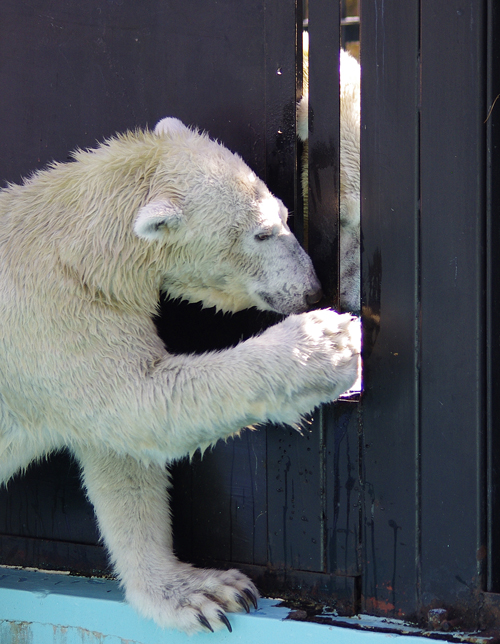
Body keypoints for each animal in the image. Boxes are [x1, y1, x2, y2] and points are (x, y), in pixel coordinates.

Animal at [0, 117, 360, 632]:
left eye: (287, 214)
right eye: (263, 233)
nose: (312, 289)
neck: (73, 247)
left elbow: (120, 459)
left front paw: (204, 592)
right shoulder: (51, 318)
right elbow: (144, 403)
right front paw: (328, 343)